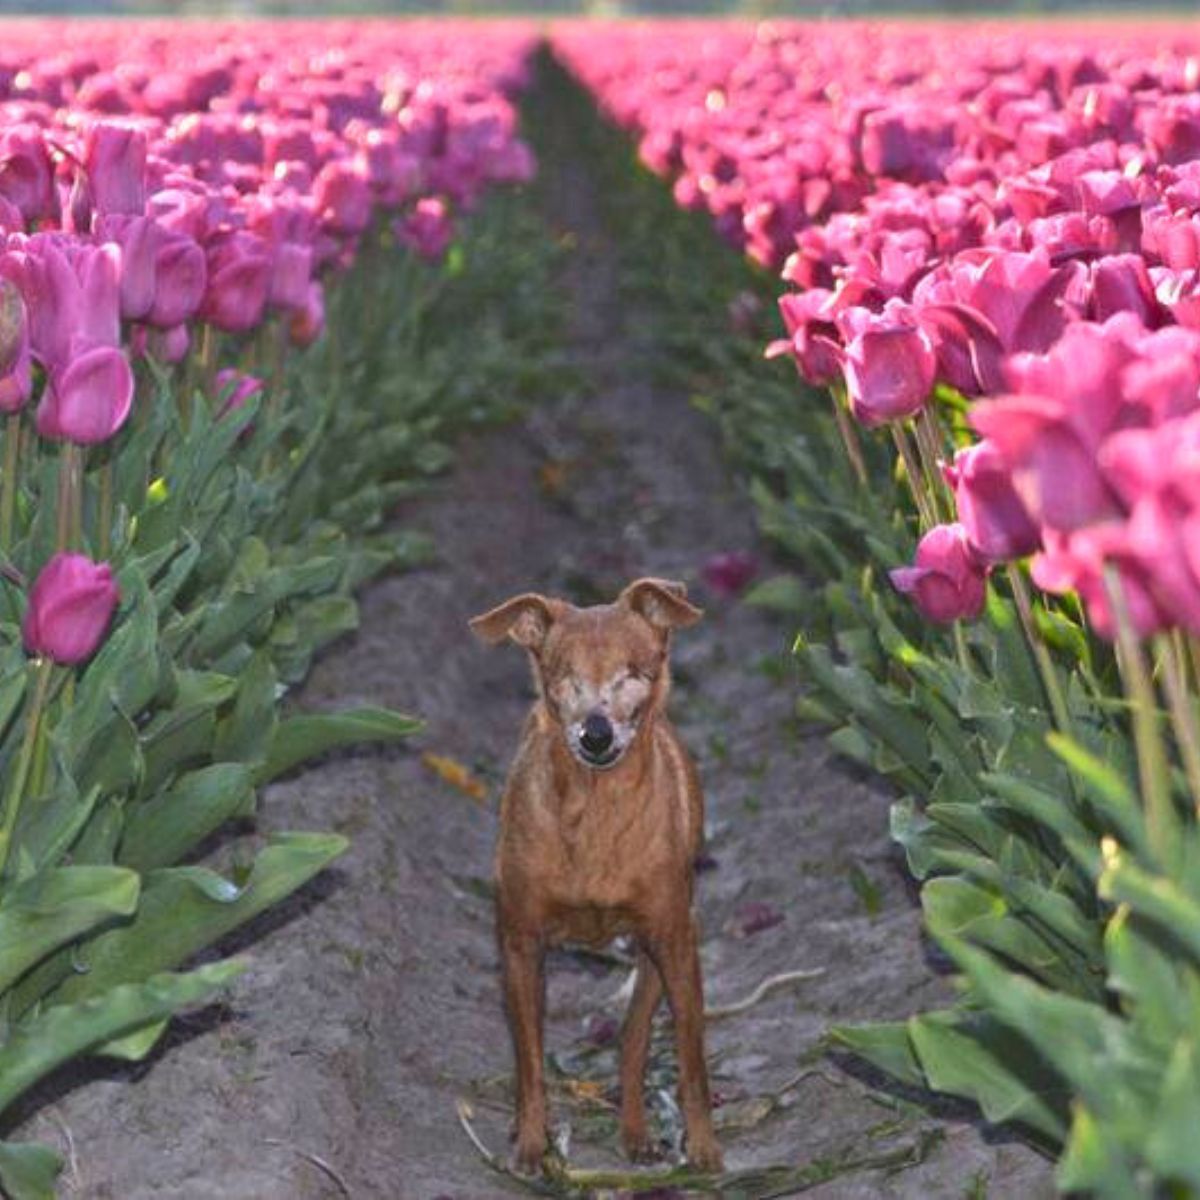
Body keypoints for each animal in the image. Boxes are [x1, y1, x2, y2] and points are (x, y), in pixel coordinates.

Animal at [468, 576, 720, 1176]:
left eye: (633, 671)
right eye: (564, 675)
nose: (596, 733)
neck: (594, 812)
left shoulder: (675, 941)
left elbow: (690, 1061)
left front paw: (704, 1150)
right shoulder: (521, 943)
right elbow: (531, 1061)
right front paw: (531, 1145)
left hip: (657, 954)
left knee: (632, 1039)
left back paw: (635, 1131)